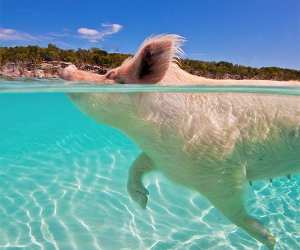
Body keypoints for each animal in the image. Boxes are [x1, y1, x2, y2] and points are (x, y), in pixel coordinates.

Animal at [59, 34, 300, 248]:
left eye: (110, 74)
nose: (66, 67)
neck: (144, 132)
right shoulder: (164, 159)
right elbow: (137, 165)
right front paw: (143, 203)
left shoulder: (221, 174)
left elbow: (233, 211)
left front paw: (271, 241)